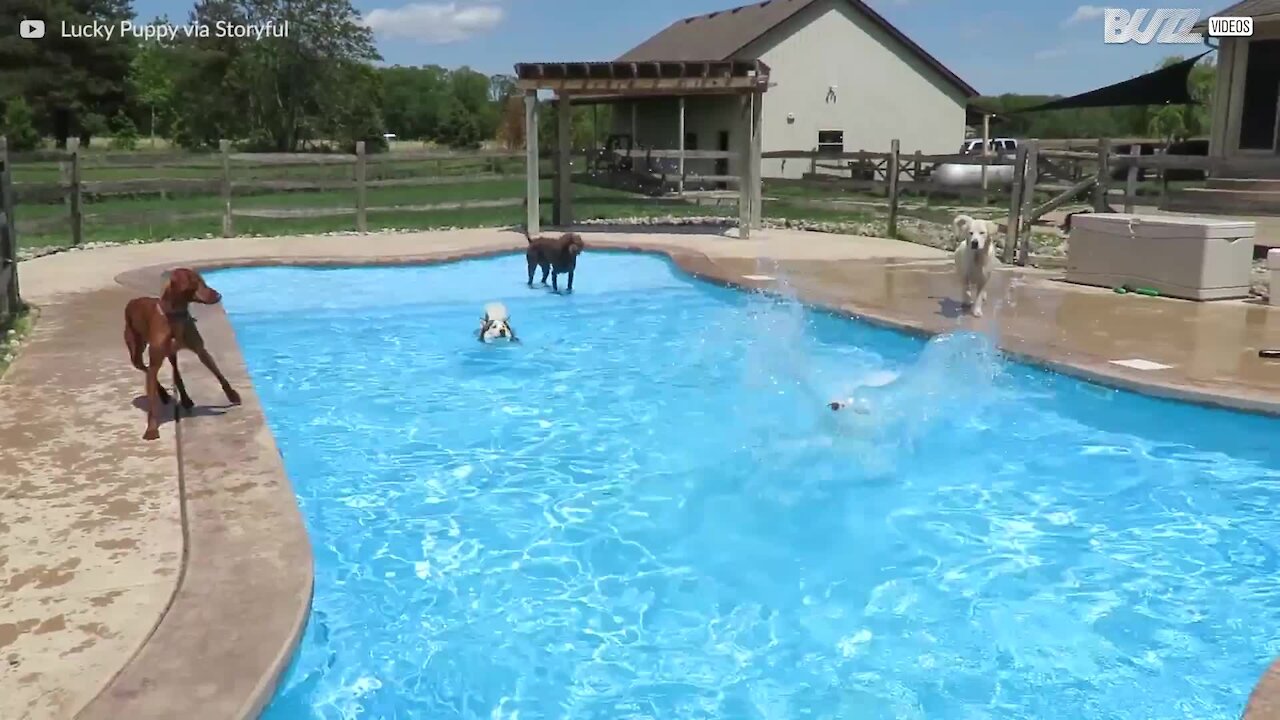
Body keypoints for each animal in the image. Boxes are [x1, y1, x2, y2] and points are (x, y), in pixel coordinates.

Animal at [123, 267, 240, 440]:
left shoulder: (200, 350)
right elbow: (152, 402)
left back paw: (184, 399)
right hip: (136, 352)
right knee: (146, 369)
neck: (175, 316)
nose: (219, 295)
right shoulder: (155, 360)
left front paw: (232, 395)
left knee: (175, 373)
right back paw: (163, 394)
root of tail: (132, 301)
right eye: (196, 282)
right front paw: (151, 429)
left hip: (171, 354)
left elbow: (219, 374)